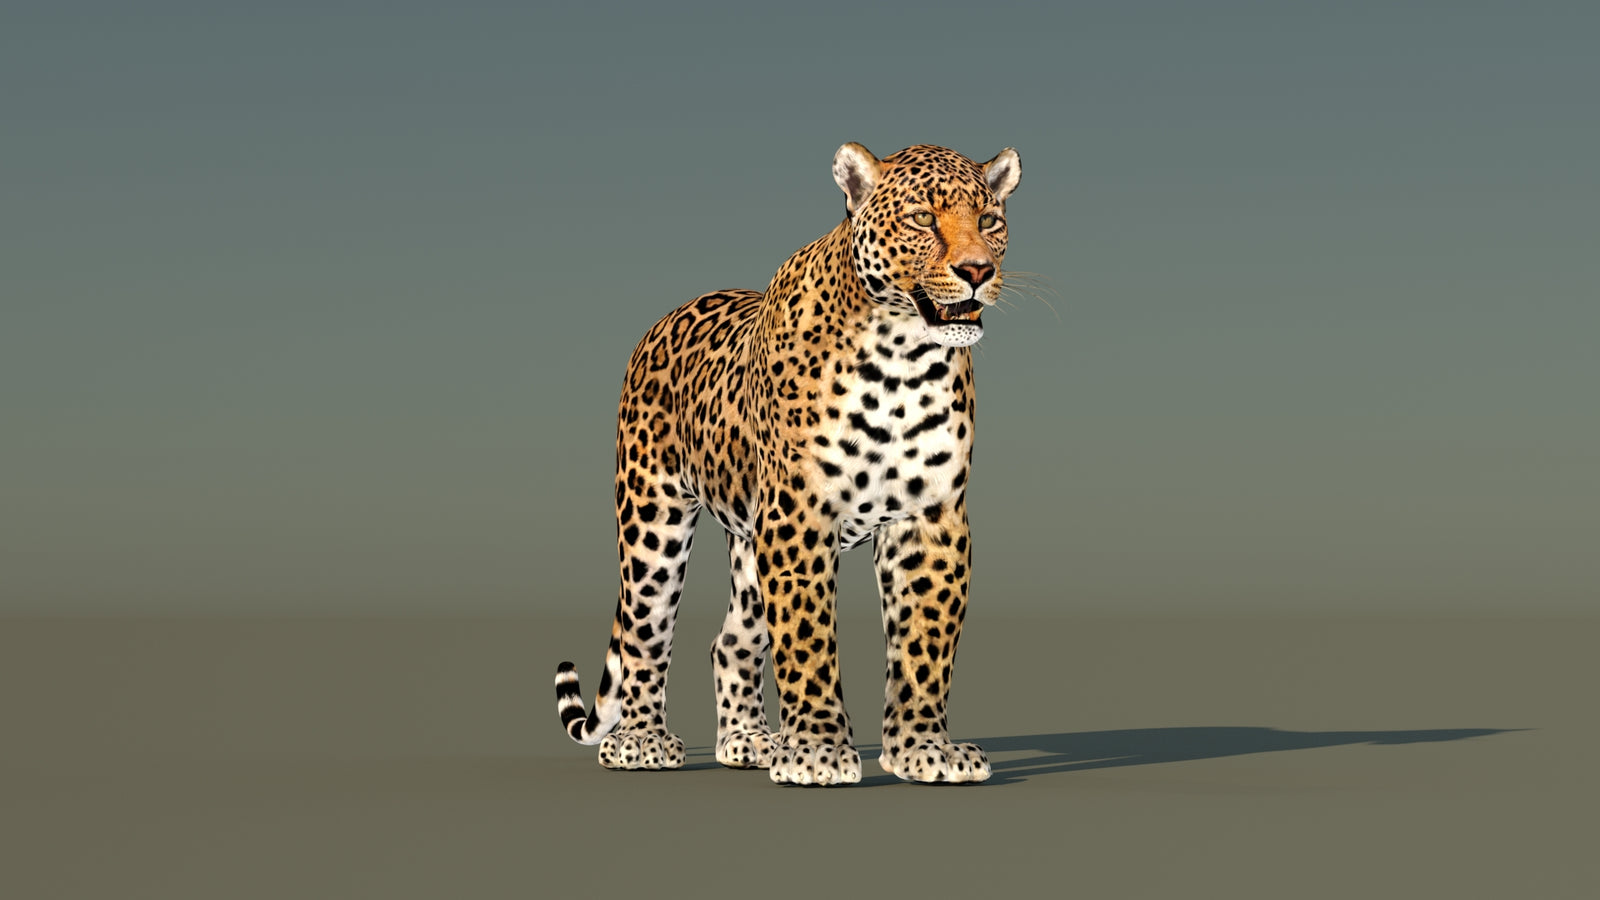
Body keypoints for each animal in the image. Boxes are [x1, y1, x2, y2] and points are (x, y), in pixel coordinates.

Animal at [554, 142, 1021, 785]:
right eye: (923, 219)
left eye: (990, 220)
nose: (979, 271)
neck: (903, 359)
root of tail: (663, 320)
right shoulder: (800, 515)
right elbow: (807, 638)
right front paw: (819, 751)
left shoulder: (931, 517)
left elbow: (924, 643)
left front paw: (923, 749)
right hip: (653, 517)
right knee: (645, 632)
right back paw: (641, 741)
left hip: (751, 544)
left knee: (729, 640)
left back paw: (749, 740)